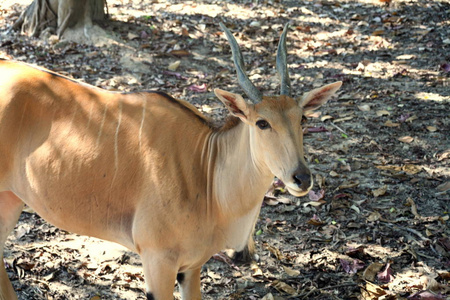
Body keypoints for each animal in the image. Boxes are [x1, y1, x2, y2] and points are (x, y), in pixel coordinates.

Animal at [0, 24, 340, 300]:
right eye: (262, 123)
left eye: (302, 118)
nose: (301, 177)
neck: (206, 170)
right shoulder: (157, 260)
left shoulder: (191, 268)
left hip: (11, 199)